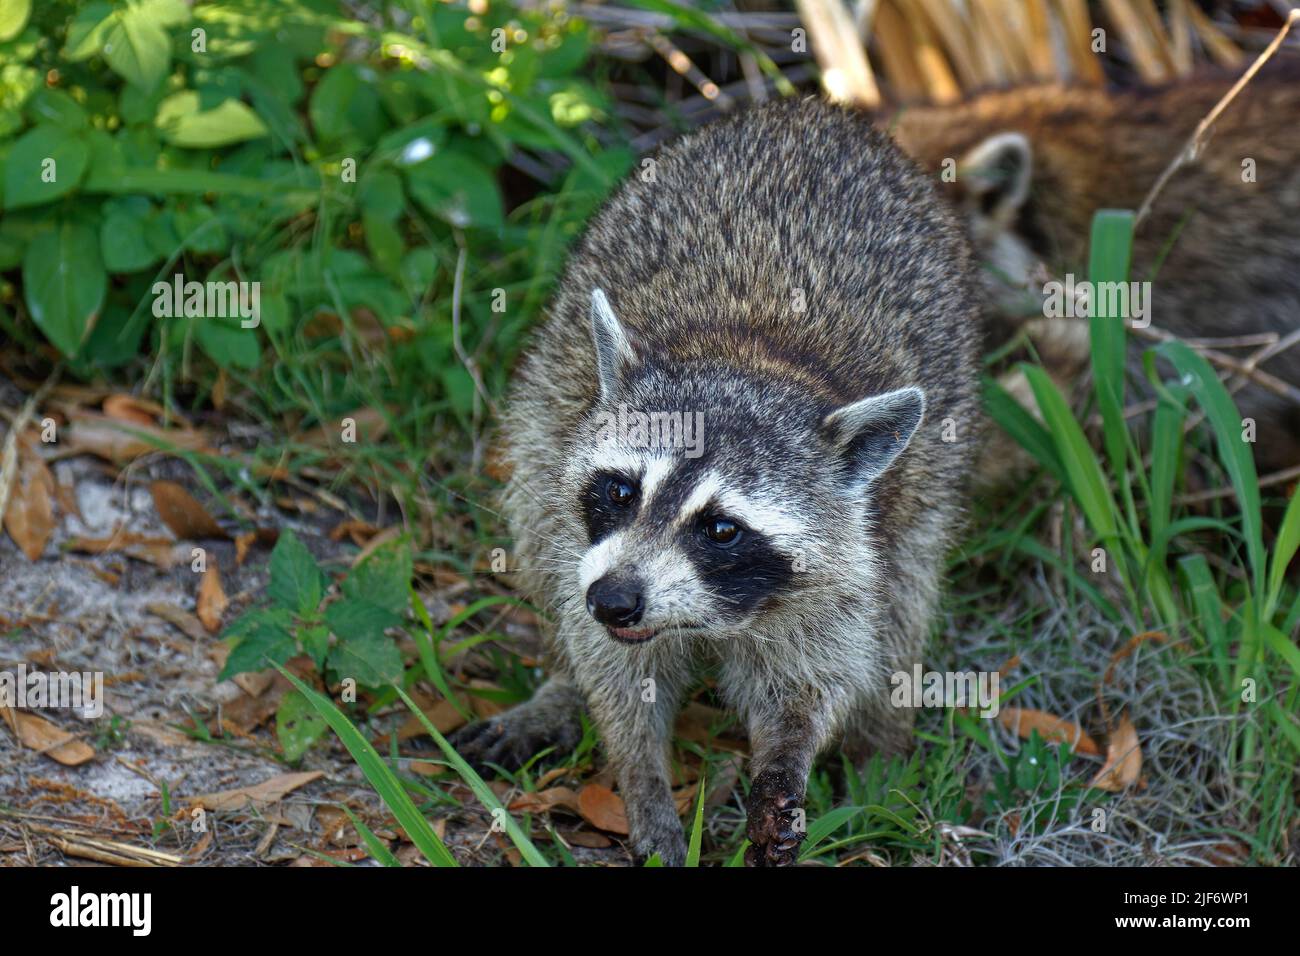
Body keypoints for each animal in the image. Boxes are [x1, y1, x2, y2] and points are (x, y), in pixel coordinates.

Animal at [452, 97, 977, 868]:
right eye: (620, 491)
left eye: (722, 528)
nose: (614, 600)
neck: (750, 353)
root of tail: (818, 113)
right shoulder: (581, 518)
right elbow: (614, 672)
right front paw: (641, 779)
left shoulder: (843, 563)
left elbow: (814, 679)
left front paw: (788, 763)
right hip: (549, 399)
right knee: (537, 520)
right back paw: (559, 688)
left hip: (930, 477)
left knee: (908, 594)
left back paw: (882, 745)